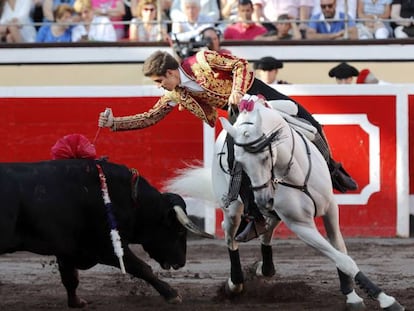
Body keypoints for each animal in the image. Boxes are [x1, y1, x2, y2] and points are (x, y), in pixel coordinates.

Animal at [0, 160, 213, 308]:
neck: (131, 200)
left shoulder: (67, 250)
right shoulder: (106, 247)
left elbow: (70, 278)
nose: (181, 262)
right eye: (179, 230)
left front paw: (77, 303)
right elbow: (142, 268)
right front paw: (172, 294)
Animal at [165, 95, 404, 311]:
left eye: (264, 156)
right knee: (230, 235)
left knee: (267, 230)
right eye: (239, 162)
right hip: (233, 210)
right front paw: (386, 300)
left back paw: (264, 267)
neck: (294, 174)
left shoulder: (330, 209)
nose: (263, 199)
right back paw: (235, 283)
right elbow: (342, 259)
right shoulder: (300, 225)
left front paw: (354, 296)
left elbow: (340, 251)